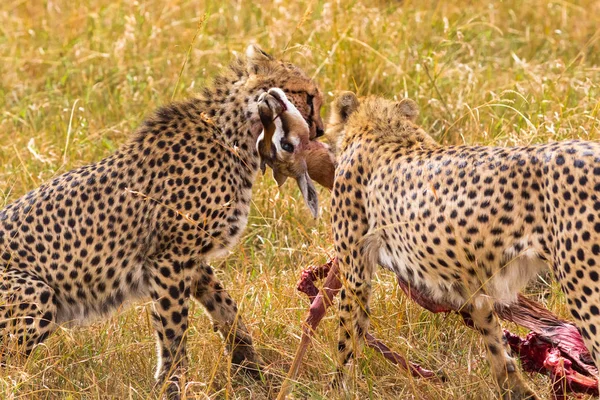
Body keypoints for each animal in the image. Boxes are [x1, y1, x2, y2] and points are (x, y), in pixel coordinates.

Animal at [0, 45, 324, 398]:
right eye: (308, 96)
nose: (320, 131)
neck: (233, 133)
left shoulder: (191, 260)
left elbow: (227, 310)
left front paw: (252, 371)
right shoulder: (169, 259)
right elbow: (173, 330)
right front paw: (171, 385)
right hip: (36, 291)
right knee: (9, 366)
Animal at [326, 91, 600, 400]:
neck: (385, 129)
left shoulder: (356, 274)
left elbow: (347, 339)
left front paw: (336, 389)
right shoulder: (472, 284)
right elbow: (494, 339)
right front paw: (516, 389)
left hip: (584, 289)